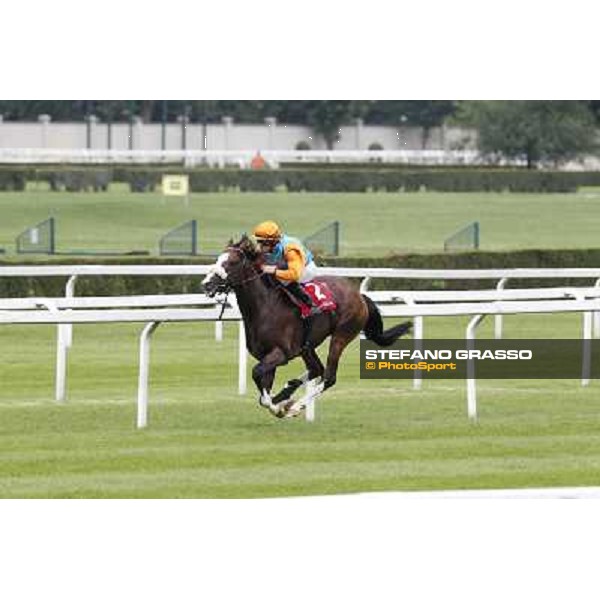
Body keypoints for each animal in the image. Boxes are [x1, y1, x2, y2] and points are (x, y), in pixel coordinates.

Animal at [202, 234, 412, 418]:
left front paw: (284, 409)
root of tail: (359, 296)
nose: (206, 284)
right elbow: (263, 393)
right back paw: (289, 389)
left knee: (328, 376)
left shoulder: (281, 353)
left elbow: (257, 376)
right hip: (307, 346)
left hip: (341, 335)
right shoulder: (267, 356)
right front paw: (281, 402)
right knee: (316, 369)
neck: (265, 307)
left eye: (231, 262)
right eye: (218, 259)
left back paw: (297, 404)